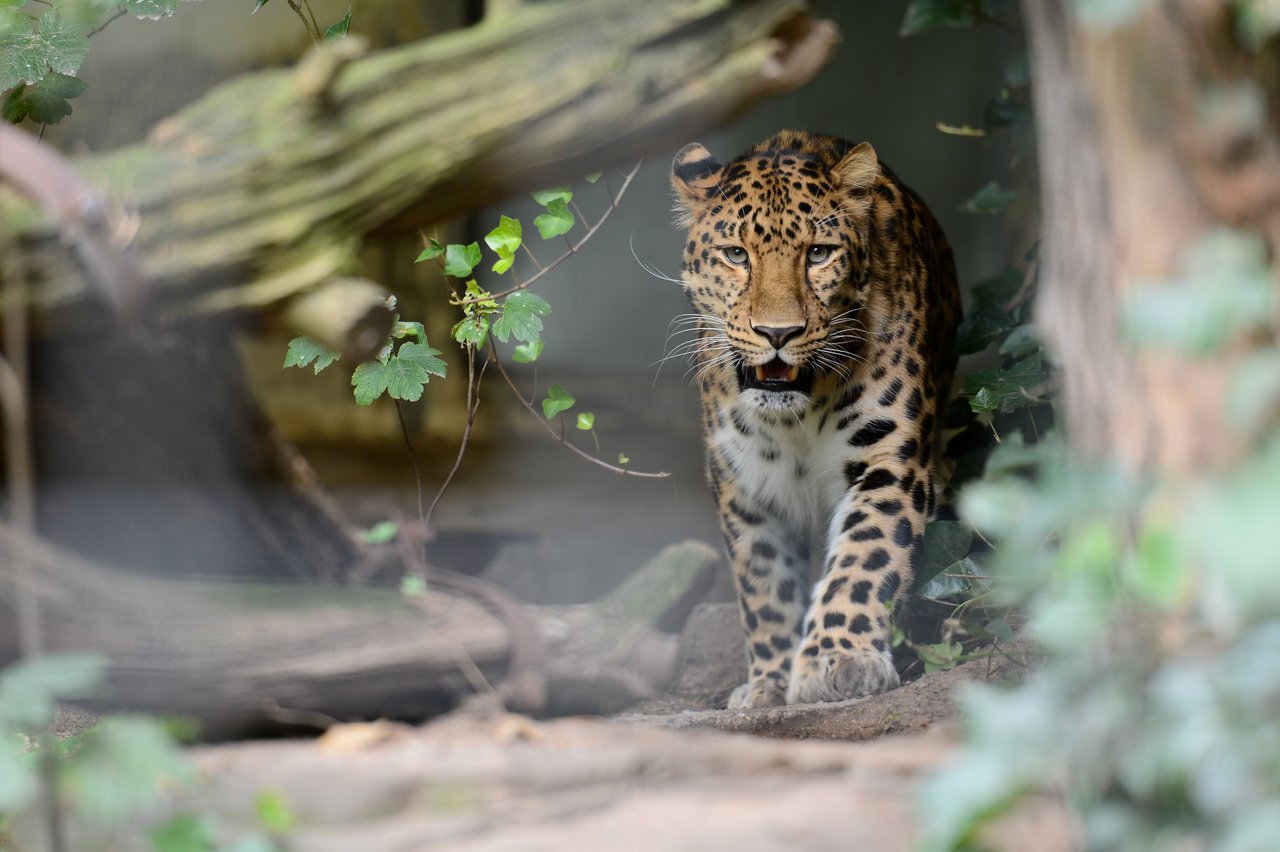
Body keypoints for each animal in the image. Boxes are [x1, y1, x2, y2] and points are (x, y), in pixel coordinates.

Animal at [669, 130, 961, 707]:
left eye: (819, 254)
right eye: (736, 255)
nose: (778, 332)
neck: (796, 420)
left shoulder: (891, 458)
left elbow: (865, 555)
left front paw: (839, 660)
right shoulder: (743, 484)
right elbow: (763, 585)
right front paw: (769, 682)